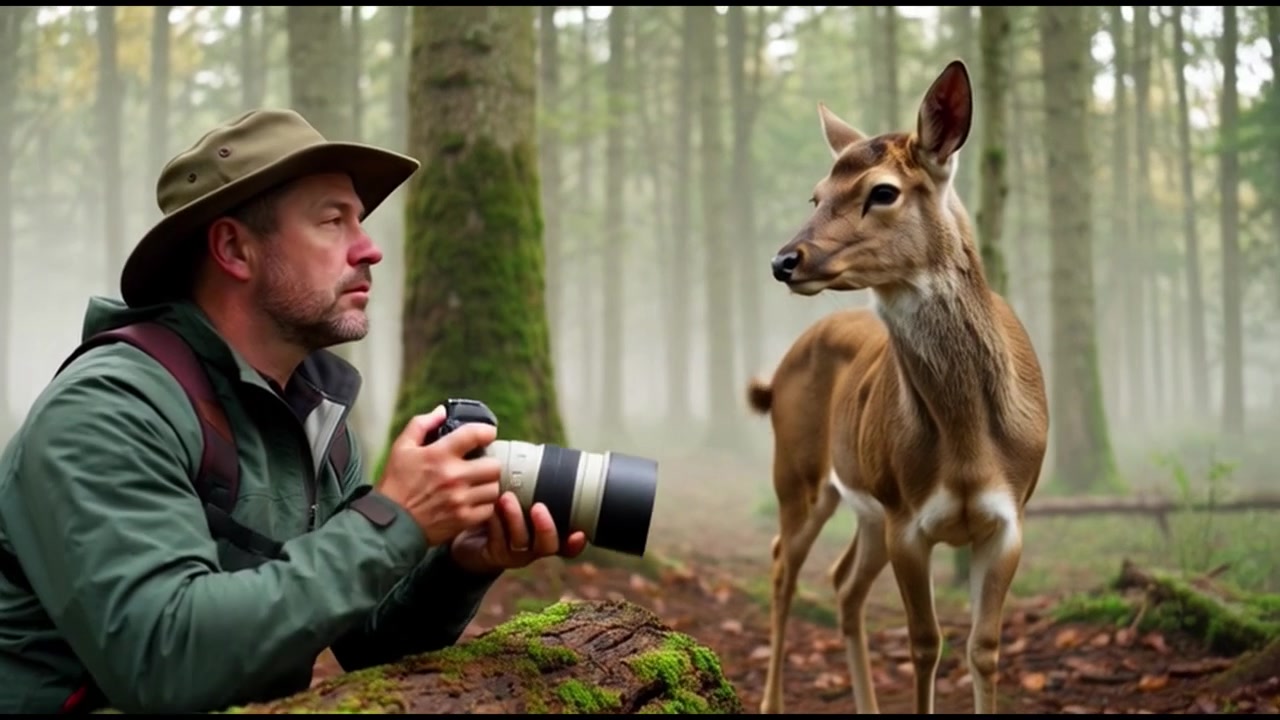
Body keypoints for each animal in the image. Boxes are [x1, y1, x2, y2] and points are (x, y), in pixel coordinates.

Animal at [746, 59, 1049, 715]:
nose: (784, 260)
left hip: (865, 507)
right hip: (800, 473)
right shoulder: (907, 517)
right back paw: (771, 701)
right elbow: (924, 643)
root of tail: (774, 378)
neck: (969, 447)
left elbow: (984, 647)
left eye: (882, 191)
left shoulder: (1010, 516)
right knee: (783, 564)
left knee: (843, 583)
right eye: (816, 194)